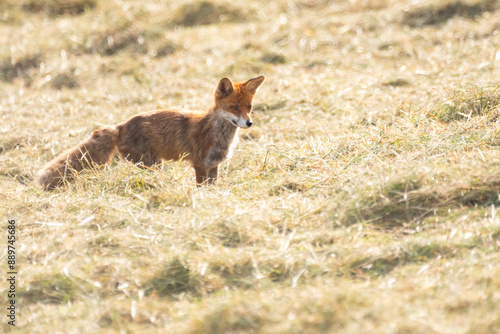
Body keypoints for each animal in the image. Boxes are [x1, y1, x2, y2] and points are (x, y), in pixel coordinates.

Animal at [35, 76, 266, 190]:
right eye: (234, 107)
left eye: (249, 107)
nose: (249, 123)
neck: (217, 133)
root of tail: (121, 125)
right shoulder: (200, 164)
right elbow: (201, 188)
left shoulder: (213, 165)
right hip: (152, 164)